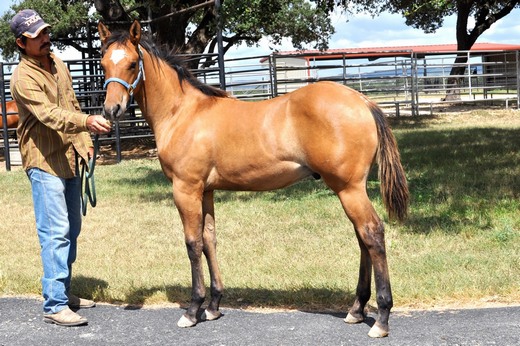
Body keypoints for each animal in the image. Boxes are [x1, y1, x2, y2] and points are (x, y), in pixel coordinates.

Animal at [96, 19, 406, 338]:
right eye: (103, 63)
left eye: (132, 64)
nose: (111, 109)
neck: (183, 113)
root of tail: (362, 100)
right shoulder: (206, 191)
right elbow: (209, 239)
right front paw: (213, 305)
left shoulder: (186, 189)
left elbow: (193, 244)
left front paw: (193, 309)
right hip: (352, 190)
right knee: (362, 238)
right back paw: (356, 309)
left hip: (348, 189)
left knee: (372, 233)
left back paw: (381, 318)